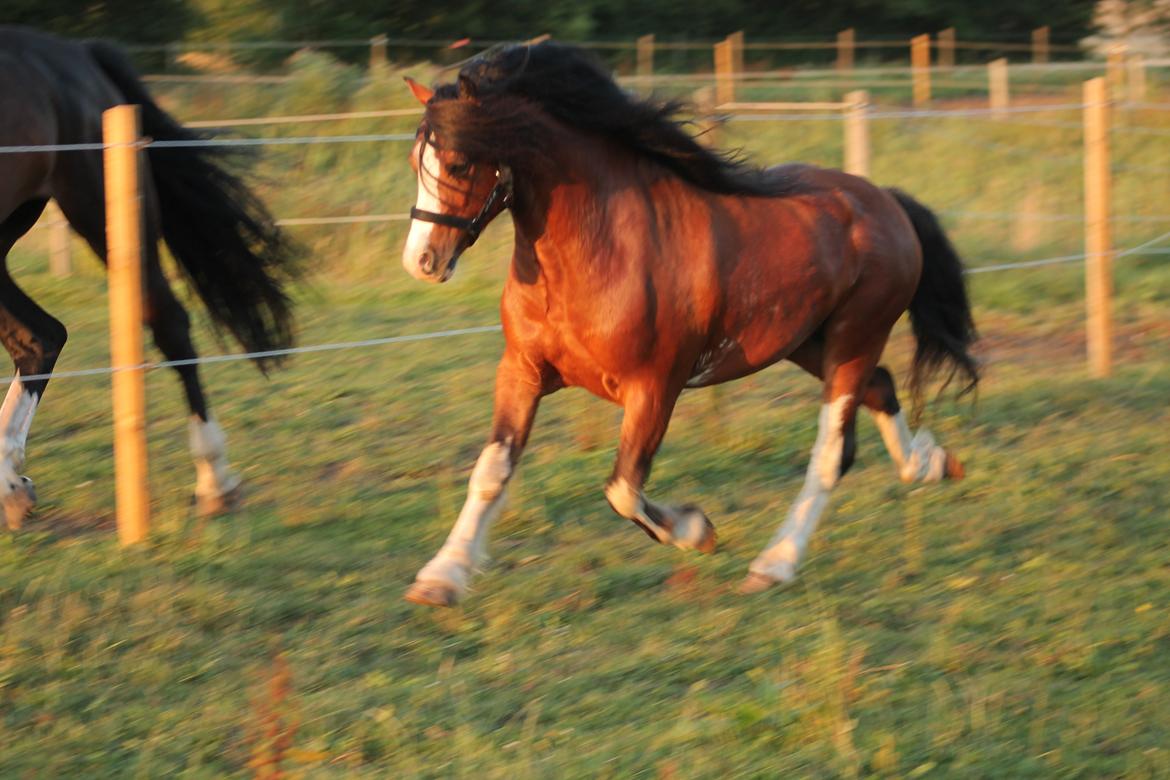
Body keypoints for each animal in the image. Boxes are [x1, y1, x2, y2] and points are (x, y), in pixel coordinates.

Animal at [0, 28, 297, 530]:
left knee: (167, 324)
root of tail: (77, 53)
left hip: (102, 211)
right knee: (40, 336)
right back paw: (13, 490)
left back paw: (215, 481)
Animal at [402, 41, 978, 608]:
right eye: (415, 159)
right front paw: (440, 578)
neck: (596, 251)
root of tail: (886, 202)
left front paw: (697, 531)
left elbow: (623, 489)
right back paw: (932, 463)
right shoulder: (523, 371)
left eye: (458, 163)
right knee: (879, 389)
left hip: (855, 337)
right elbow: (491, 472)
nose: (421, 262)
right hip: (805, 342)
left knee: (831, 449)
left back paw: (774, 564)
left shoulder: (655, 387)